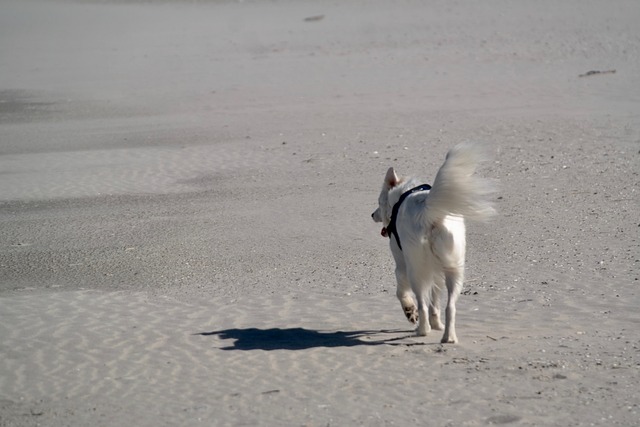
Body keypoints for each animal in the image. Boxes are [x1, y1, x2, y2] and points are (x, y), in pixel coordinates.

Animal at [370, 144, 496, 344]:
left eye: (379, 202)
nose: (372, 215)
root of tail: (428, 210)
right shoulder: (437, 272)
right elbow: (435, 303)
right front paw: (437, 324)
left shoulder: (402, 265)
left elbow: (402, 293)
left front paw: (410, 311)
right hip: (454, 270)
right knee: (449, 306)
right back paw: (448, 337)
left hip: (416, 270)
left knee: (422, 303)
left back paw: (422, 330)